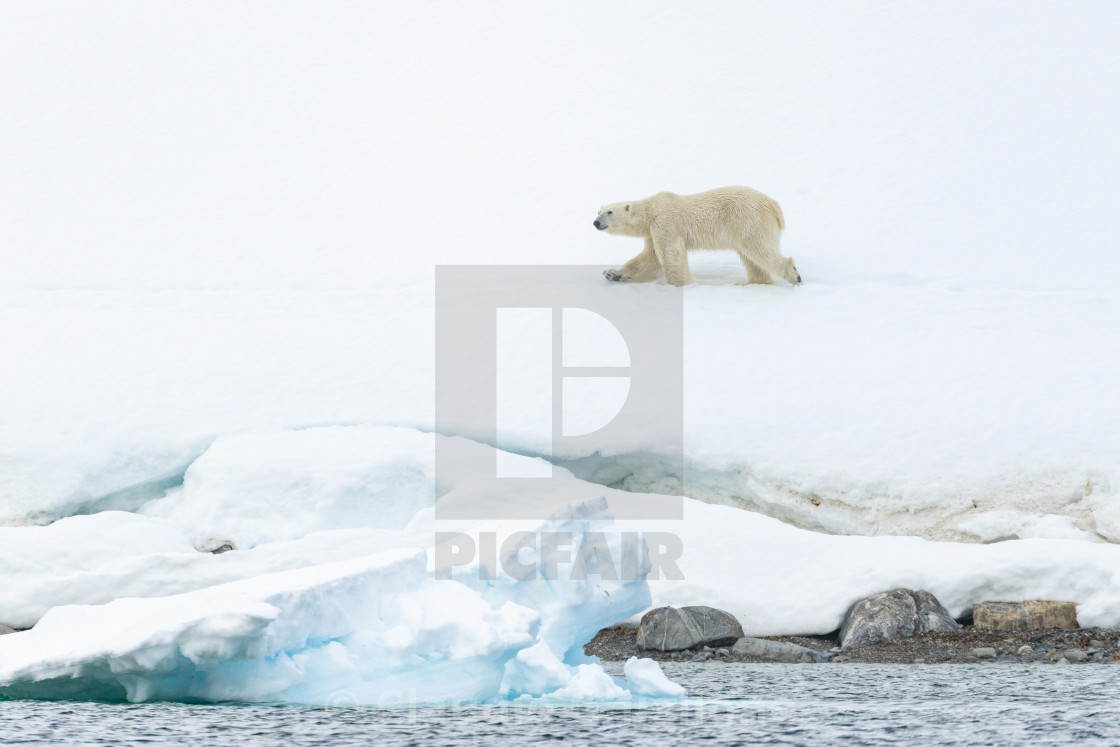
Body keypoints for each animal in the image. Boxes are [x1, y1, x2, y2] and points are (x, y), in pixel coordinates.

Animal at [591, 187, 801, 288]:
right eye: (598, 211)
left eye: (609, 212)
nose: (595, 222)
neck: (650, 210)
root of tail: (774, 206)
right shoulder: (652, 231)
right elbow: (649, 259)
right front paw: (612, 273)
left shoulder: (665, 222)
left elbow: (669, 254)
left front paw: (682, 285)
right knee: (751, 258)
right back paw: (750, 283)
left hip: (749, 219)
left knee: (757, 248)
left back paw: (794, 275)